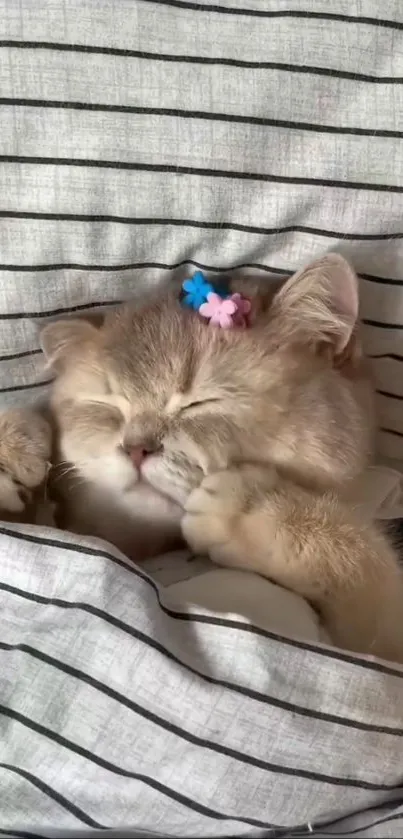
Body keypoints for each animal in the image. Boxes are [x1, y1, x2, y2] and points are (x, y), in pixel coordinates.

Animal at [0, 253, 403, 660]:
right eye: (107, 406)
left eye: (201, 403)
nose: (135, 448)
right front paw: (16, 446)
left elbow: (370, 573)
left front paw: (253, 510)